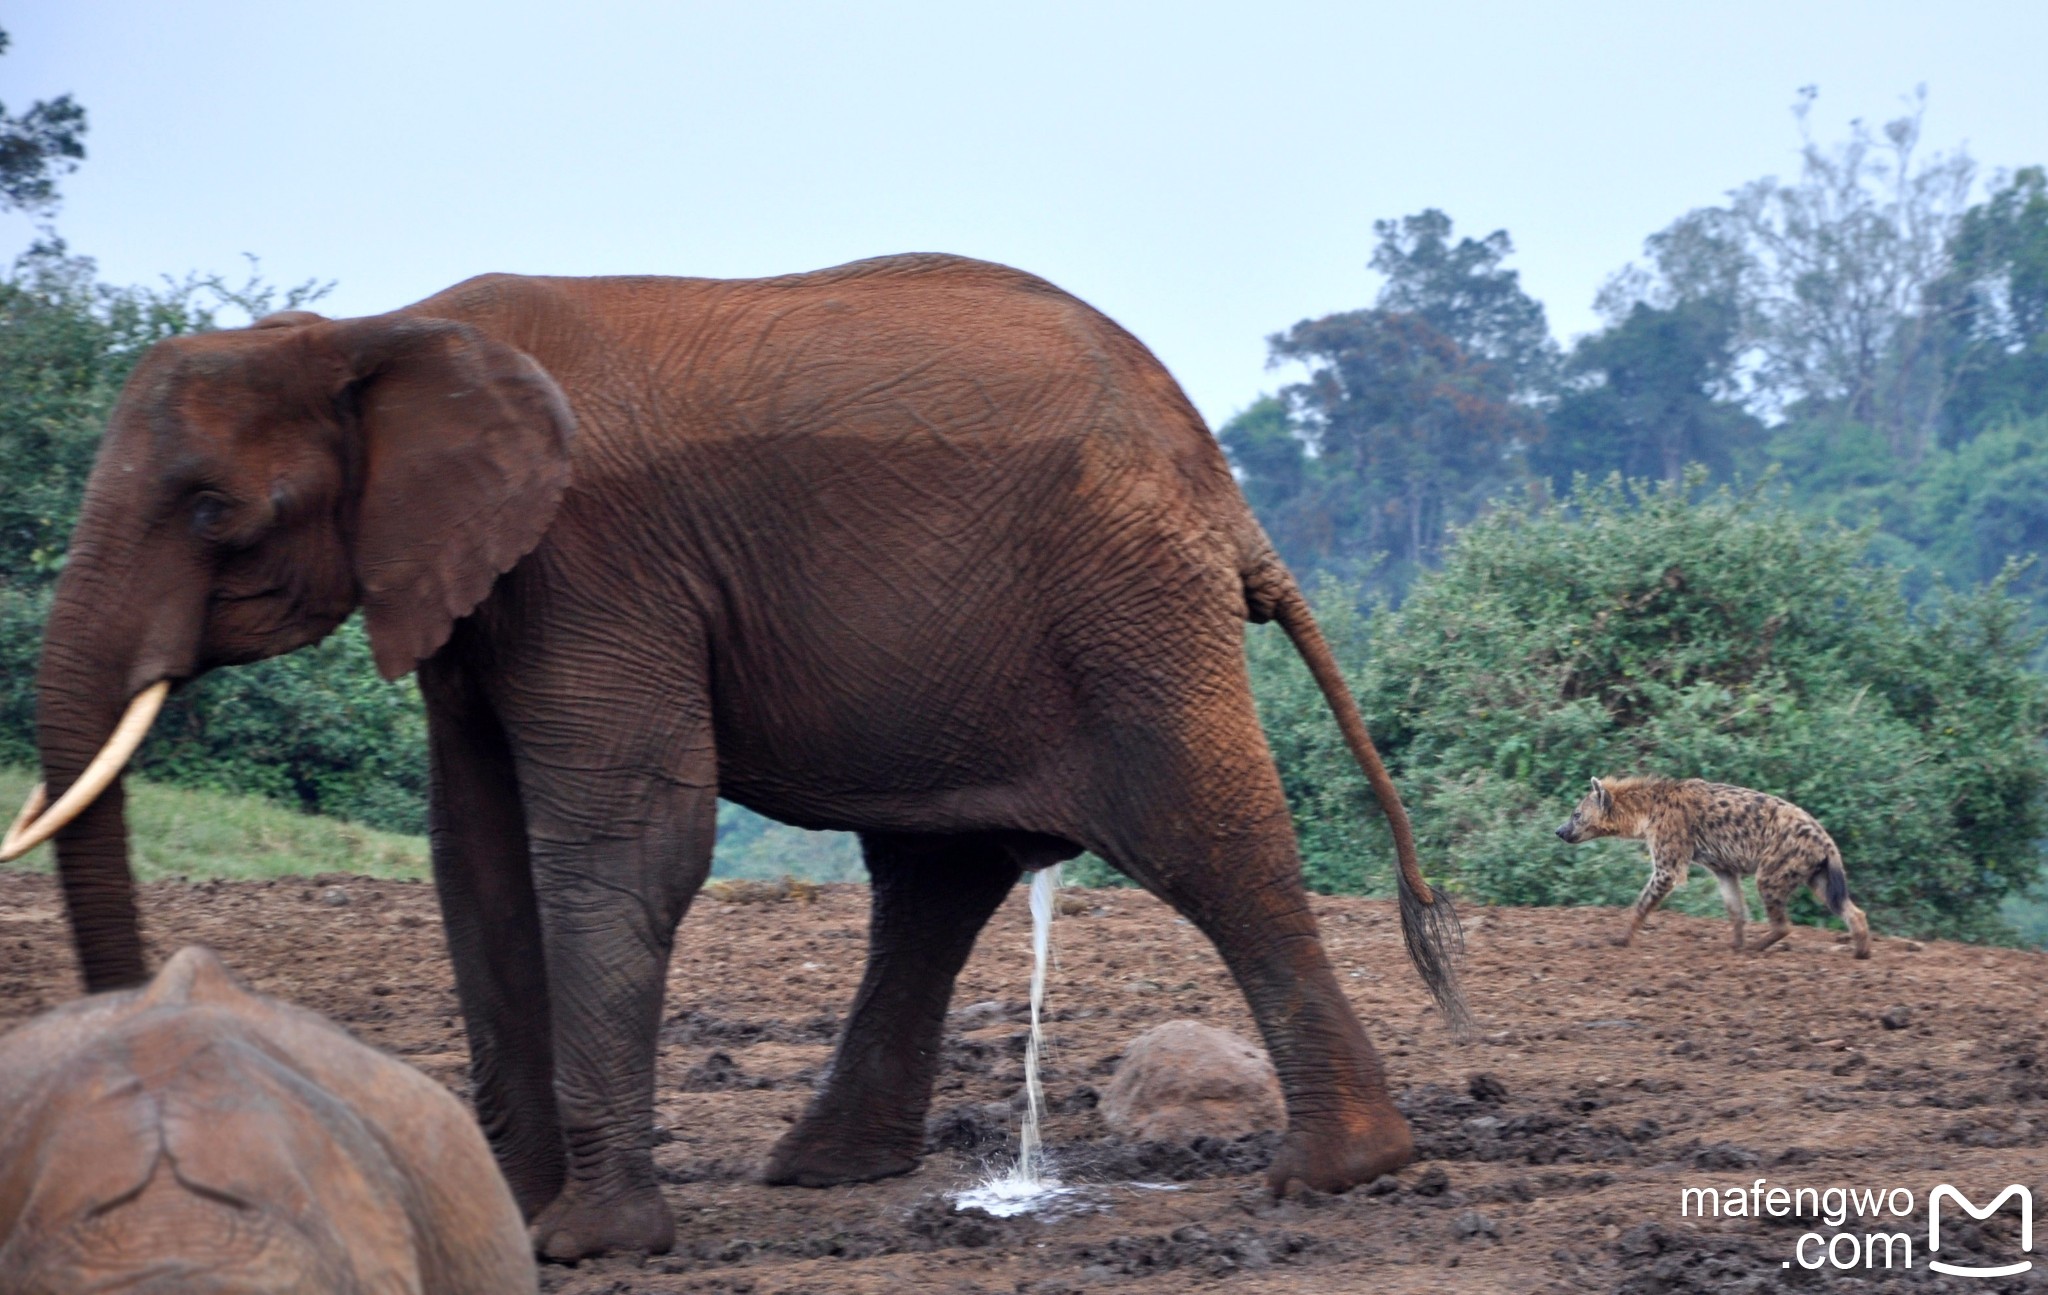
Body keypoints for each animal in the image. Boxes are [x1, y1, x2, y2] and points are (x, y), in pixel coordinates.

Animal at [8, 249, 1466, 1254]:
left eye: (215, 512)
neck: (375, 326)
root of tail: (1216, 477)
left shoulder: (592, 560)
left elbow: (623, 845)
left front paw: (588, 1241)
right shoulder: (474, 586)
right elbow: (474, 856)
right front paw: (516, 1212)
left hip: (1125, 602)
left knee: (1205, 838)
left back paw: (1336, 1171)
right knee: (935, 878)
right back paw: (821, 1168)